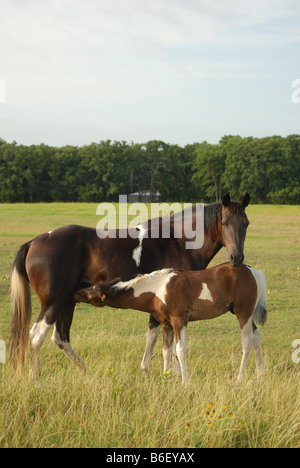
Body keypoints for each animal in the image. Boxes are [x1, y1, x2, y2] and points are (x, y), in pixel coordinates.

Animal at [9, 192, 250, 378]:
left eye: (246, 223)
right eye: (224, 222)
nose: (237, 258)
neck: (178, 241)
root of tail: (33, 243)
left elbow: (154, 338)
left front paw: (150, 371)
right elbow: (168, 345)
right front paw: (170, 374)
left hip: (68, 302)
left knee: (61, 337)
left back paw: (87, 374)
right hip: (54, 303)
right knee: (36, 337)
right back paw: (35, 378)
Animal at [75, 262, 268, 382]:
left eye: (92, 293)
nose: (75, 293)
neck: (159, 289)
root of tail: (254, 272)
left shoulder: (179, 321)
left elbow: (180, 350)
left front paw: (185, 381)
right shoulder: (166, 324)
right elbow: (166, 352)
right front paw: (167, 376)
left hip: (243, 314)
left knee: (247, 343)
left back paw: (240, 377)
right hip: (246, 315)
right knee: (257, 337)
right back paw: (260, 374)